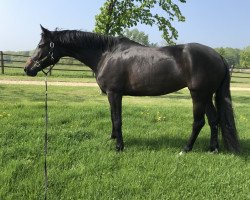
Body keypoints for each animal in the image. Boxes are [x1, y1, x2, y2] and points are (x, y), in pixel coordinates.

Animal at [24, 25, 239, 153]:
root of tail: (219, 56)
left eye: (41, 45)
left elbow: (118, 119)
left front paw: (119, 146)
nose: (27, 69)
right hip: (207, 95)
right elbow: (113, 118)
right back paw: (213, 148)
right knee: (214, 120)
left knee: (199, 122)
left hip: (198, 95)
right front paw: (112, 139)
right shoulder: (112, 95)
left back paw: (185, 149)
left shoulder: (114, 93)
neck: (106, 54)